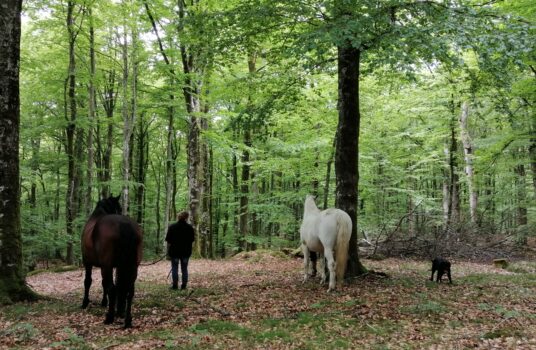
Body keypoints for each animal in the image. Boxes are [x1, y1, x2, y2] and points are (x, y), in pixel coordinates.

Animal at [80, 196, 142, 330]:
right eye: (118, 208)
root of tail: (124, 224)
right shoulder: (114, 267)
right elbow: (106, 284)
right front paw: (105, 302)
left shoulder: (88, 262)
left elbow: (88, 282)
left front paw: (85, 302)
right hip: (132, 266)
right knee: (130, 291)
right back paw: (127, 320)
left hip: (106, 266)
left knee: (112, 289)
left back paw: (109, 317)